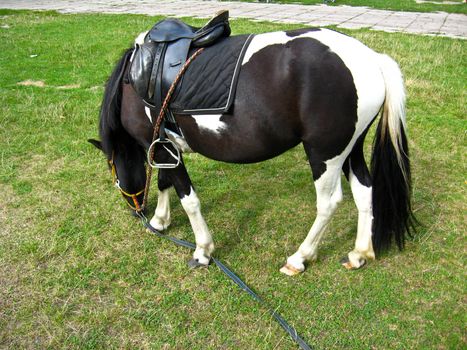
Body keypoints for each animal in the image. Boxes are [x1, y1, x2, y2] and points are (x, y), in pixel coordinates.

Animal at [88, 26, 416, 276]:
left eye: (113, 173)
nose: (137, 212)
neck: (135, 80)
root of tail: (371, 59)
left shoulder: (160, 147)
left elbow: (189, 199)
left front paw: (202, 250)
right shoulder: (164, 147)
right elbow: (163, 182)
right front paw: (160, 221)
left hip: (325, 154)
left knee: (329, 203)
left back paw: (299, 258)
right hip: (351, 150)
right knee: (365, 191)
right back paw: (359, 253)